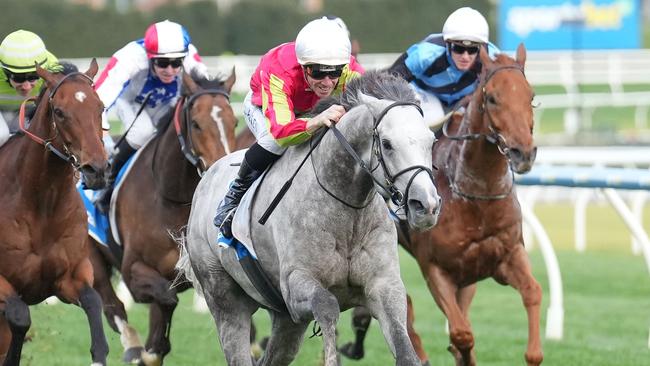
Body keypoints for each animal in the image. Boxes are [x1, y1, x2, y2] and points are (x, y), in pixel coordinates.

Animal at [0, 60, 108, 366]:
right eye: (59, 112)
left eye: (100, 107)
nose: (97, 169)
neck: (42, 205)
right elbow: (20, 317)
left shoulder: (70, 276)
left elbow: (94, 304)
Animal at [87, 70, 237, 364]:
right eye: (196, 124)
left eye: (234, 122)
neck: (168, 199)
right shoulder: (133, 270)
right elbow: (166, 299)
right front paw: (145, 352)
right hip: (90, 257)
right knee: (112, 307)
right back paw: (130, 345)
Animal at [176, 70, 440, 364]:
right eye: (387, 144)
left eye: (431, 141)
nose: (426, 205)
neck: (347, 213)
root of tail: (208, 175)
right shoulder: (295, 285)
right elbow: (326, 305)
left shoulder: (384, 286)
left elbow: (405, 349)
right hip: (225, 299)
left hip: (285, 320)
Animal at [340, 43, 540, 366]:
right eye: (493, 98)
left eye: (530, 97)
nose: (524, 153)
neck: (476, 196)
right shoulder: (435, 269)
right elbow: (461, 333)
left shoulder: (508, 256)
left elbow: (533, 293)